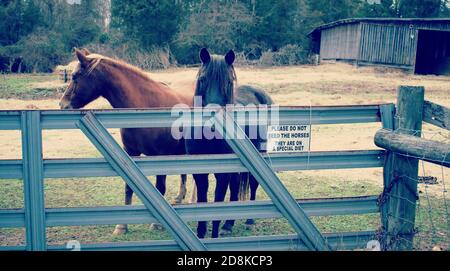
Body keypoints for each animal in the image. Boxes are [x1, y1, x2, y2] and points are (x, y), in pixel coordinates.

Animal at [59, 49, 193, 236]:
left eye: (75, 76)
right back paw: (181, 198)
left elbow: (160, 187)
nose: (62, 104)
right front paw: (122, 226)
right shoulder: (130, 153)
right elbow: (129, 188)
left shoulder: (160, 155)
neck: (145, 106)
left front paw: (157, 224)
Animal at [186, 48, 274, 238]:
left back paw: (249, 220)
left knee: (253, 185)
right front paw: (201, 233)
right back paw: (228, 224)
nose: (212, 123)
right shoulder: (199, 172)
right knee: (235, 186)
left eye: (228, 82)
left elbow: (218, 201)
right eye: (202, 79)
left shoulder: (223, 172)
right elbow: (203, 200)